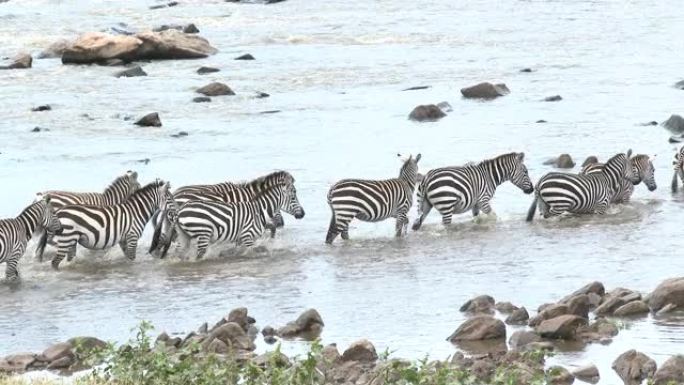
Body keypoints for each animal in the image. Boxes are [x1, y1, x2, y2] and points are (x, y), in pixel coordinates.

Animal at [160, 182, 304, 260]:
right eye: (293, 197)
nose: (303, 214)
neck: (258, 210)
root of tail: (179, 211)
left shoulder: (240, 238)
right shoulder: (247, 236)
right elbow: (251, 252)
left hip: (183, 236)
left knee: (179, 254)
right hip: (203, 234)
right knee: (198, 256)